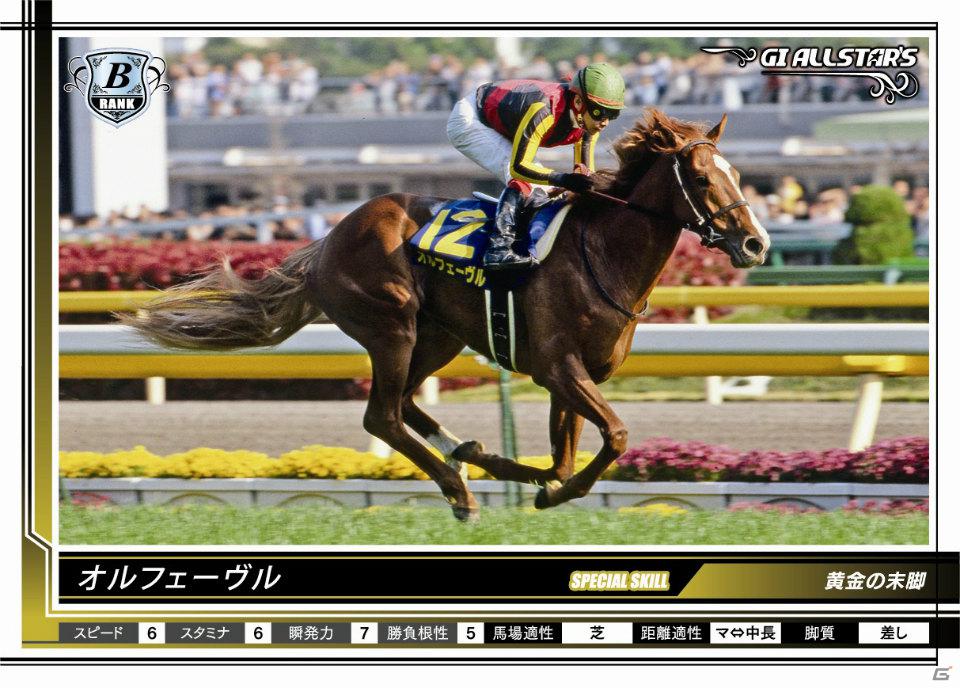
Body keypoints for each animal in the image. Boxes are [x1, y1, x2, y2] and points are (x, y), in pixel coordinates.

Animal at [124, 108, 770, 522]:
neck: (602, 253)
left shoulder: (575, 374)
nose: (756, 244)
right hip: (392, 325)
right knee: (383, 416)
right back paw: (460, 492)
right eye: (704, 178)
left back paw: (474, 457)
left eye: (739, 175)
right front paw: (552, 494)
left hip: (437, 337)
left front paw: (543, 485)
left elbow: (566, 456)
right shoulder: (557, 367)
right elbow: (614, 436)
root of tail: (329, 241)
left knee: (406, 404)